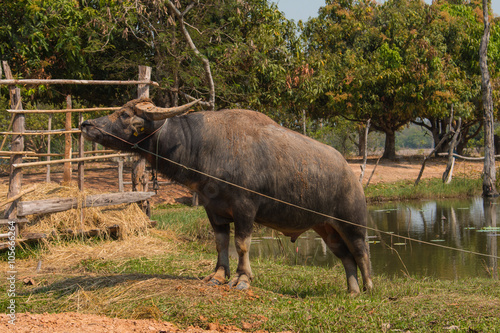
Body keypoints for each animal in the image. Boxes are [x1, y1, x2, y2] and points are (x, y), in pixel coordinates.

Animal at [80, 98, 374, 294]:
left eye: (124, 114)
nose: (86, 123)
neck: (205, 145)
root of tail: (351, 176)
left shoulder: (245, 209)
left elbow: (242, 244)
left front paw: (242, 279)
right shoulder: (214, 209)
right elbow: (221, 243)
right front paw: (218, 275)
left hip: (352, 223)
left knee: (361, 252)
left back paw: (369, 287)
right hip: (326, 228)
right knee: (346, 257)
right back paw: (352, 291)